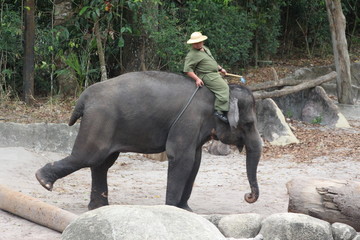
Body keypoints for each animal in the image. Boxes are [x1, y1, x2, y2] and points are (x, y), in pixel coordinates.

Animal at [35, 70, 262, 211]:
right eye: (249, 123)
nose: (248, 197)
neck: (220, 91)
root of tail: (85, 96)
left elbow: (195, 162)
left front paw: (186, 210)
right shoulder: (188, 120)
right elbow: (182, 158)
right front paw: (172, 209)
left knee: (102, 163)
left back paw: (98, 207)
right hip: (100, 119)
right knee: (88, 156)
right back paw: (43, 181)